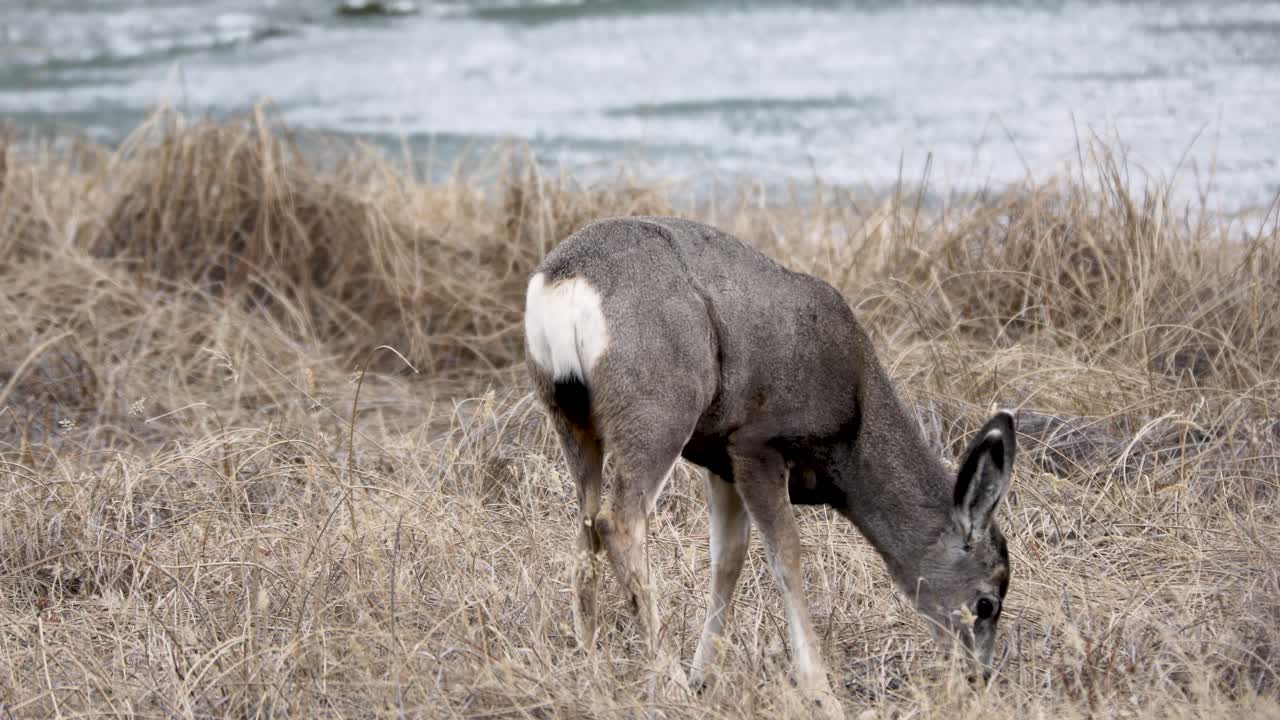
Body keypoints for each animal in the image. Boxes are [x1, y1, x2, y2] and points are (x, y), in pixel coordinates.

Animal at [523, 216, 1015, 716]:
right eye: (987, 602)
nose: (978, 676)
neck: (854, 427)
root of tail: (564, 283)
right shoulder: (757, 445)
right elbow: (787, 557)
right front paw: (820, 692)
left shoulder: (720, 459)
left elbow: (729, 558)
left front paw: (705, 674)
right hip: (658, 408)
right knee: (618, 522)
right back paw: (669, 682)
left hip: (569, 413)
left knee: (585, 523)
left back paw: (589, 662)